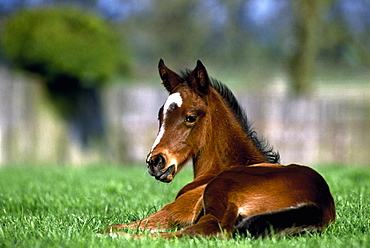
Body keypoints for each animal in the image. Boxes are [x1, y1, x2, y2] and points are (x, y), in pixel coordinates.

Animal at [103, 59, 336, 238]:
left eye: (190, 117)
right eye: (161, 116)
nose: (155, 162)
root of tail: (319, 202)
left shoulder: (175, 212)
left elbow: (113, 225)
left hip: (218, 192)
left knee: (205, 231)